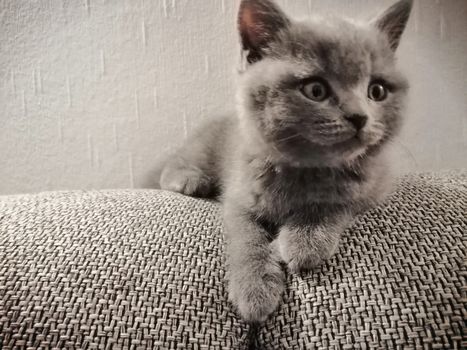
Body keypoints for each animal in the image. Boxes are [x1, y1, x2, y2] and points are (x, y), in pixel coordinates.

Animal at [160, 0, 414, 326]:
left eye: (377, 91)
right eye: (315, 90)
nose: (360, 117)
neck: (307, 170)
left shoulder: (374, 186)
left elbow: (337, 203)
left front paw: (305, 240)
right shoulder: (240, 195)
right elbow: (245, 237)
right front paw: (254, 286)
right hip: (201, 148)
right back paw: (189, 180)